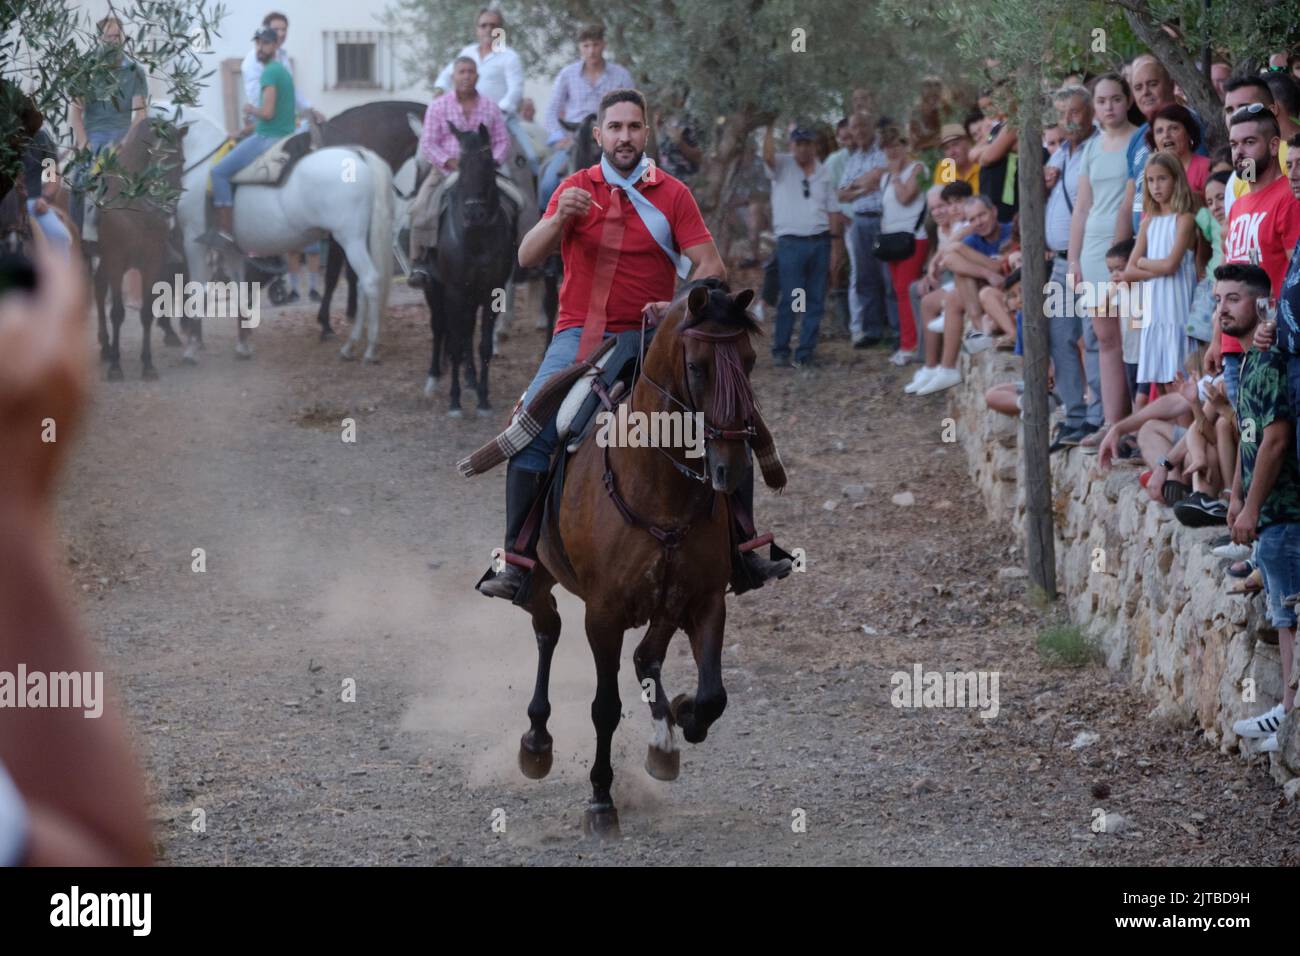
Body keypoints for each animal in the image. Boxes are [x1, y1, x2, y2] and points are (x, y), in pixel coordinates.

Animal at [95, 115, 185, 377]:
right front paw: (116, 368)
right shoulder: (116, 261)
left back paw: (106, 346)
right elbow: (117, 313)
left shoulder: (152, 261)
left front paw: (148, 365)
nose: (169, 207)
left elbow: (146, 313)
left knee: (97, 286)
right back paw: (107, 349)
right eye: (160, 160)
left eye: (182, 161)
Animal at [172, 107, 395, 361]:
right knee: (360, 285)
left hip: (350, 240)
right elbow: (239, 291)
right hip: (361, 240)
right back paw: (352, 345)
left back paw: (366, 348)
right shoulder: (230, 250)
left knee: (369, 281)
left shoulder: (193, 241)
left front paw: (191, 348)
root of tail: (358, 155)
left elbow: (196, 289)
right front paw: (243, 345)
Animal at [421, 122, 512, 416]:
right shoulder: (454, 292)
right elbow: (454, 344)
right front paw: (454, 401)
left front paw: (483, 399)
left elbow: (483, 346)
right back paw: (433, 378)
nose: (474, 214)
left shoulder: (491, 292)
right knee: (440, 327)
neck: (476, 238)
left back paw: (471, 380)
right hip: (435, 289)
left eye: (487, 162)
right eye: (460, 164)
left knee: (467, 332)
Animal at [514, 277, 759, 837]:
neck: (659, 485)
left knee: (646, 656)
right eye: (698, 367)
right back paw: (537, 741)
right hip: (539, 575)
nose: (731, 470)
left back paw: (664, 737)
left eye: (751, 361)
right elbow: (605, 706)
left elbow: (713, 696)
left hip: (664, 602)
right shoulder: (602, 614)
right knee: (546, 627)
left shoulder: (704, 598)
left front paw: (683, 716)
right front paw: (601, 801)